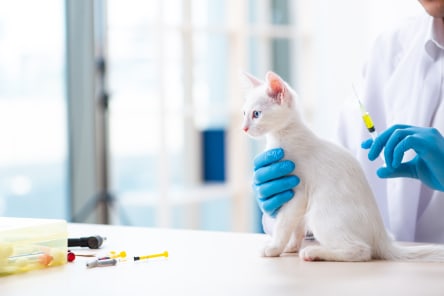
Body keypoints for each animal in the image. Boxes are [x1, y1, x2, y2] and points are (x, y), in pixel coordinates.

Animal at [243, 70, 444, 260]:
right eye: (244, 113)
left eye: (256, 114)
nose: (244, 128)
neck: (285, 136)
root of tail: (381, 236)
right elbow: (297, 227)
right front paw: (291, 246)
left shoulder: (298, 194)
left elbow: (284, 225)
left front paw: (274, 248)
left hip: (320, 215)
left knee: (362, 251)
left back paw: (314, 253)